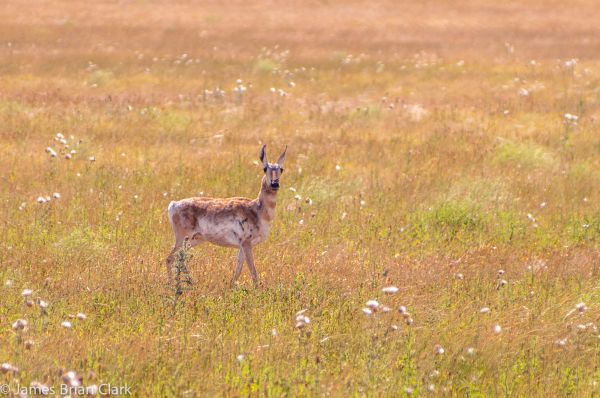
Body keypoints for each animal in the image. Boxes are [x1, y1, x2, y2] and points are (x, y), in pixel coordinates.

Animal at [164, 145, 286, 284]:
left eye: (281, 169)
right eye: (265, 168)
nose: (275, 184)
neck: (257, 209)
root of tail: (174, 204)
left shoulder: (243, 246)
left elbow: (238, 269)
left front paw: (232, 285)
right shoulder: (246, 243)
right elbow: (253, 272)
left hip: (195, 240)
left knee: (179, 259)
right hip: (183, 238)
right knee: (170, 258)